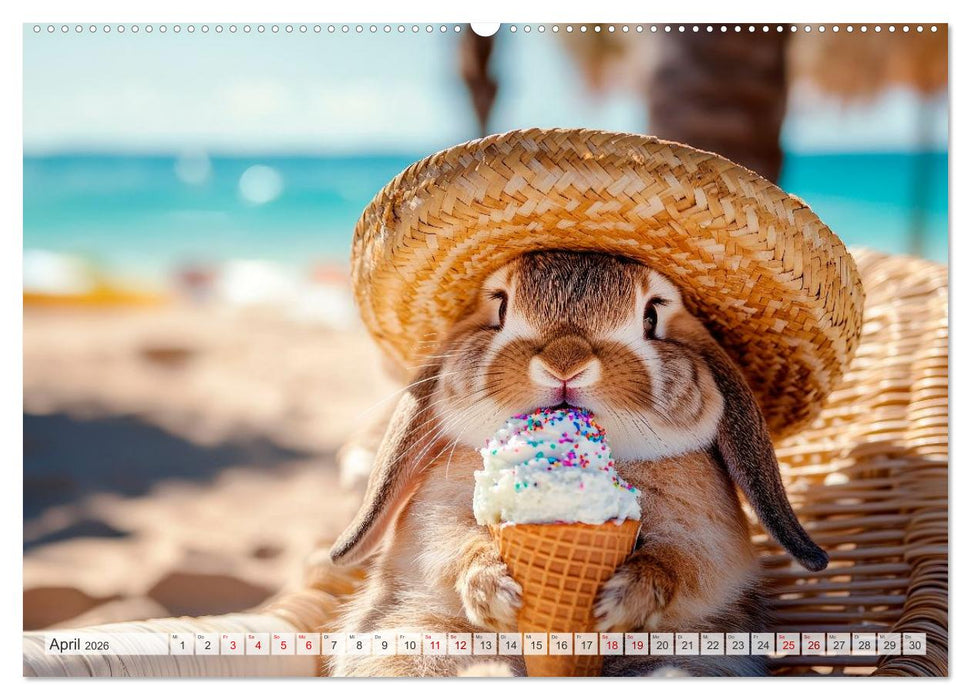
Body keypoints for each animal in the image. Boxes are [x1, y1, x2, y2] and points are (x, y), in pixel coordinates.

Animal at [328, 250, 828, 677]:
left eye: (652, 316)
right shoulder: (436, 517)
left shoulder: (708, 537)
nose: (564, 364)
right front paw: (495, 593)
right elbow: (452, 546)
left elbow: (681, 563)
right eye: (500, 306)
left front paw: (622, 602)